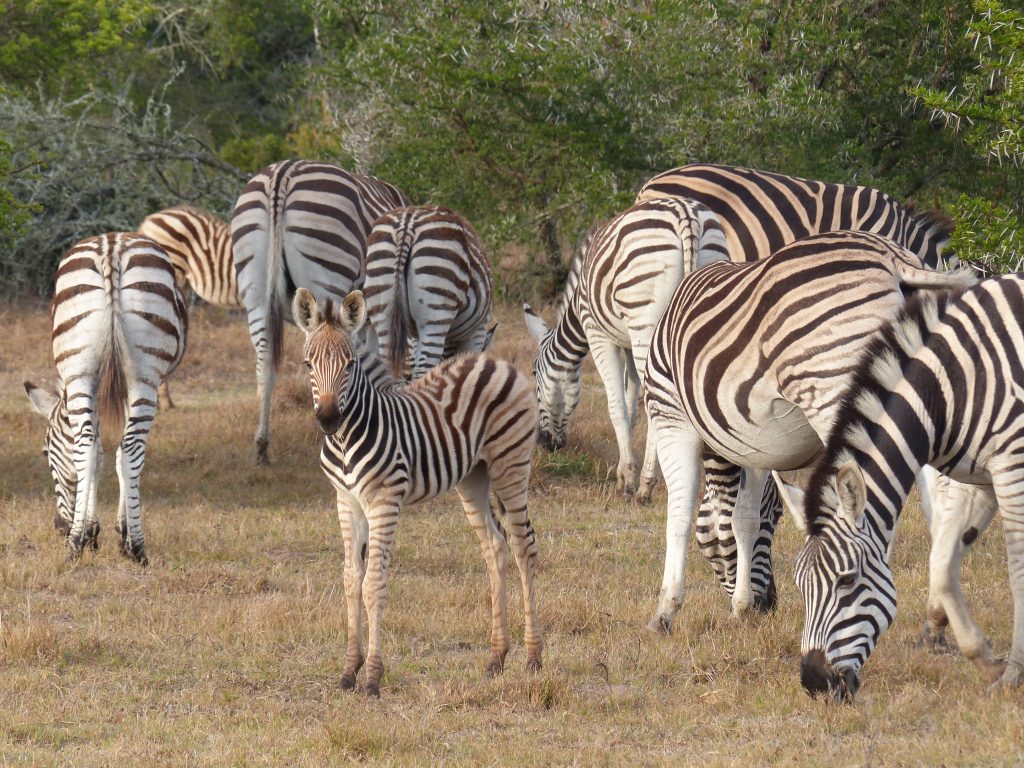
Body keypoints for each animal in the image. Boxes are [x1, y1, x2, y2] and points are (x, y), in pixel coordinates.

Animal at [23, 232, 187, 564]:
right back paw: (136, 547)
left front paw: (90, 532)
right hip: (142, 374)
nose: (58, 527)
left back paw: (79, 545)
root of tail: (112, 246)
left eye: (45, 453)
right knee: (131, 446)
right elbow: (116, 455)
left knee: (87, 446)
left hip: (81, 368)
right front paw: (109, 532)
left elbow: (97, 454)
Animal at [292, 287, 542, 696]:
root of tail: (494, 361)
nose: (328, 419)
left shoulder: (384, 500)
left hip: (511, 464)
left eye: (350, 365)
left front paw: (372, 677)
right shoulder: (346, 502)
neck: (345, 439)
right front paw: (348, 671)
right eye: (308, 364)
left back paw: (534, 657)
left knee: (524, 547)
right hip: (473, 477)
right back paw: (496, 657)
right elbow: (350, 579)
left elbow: (373, 583)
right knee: (495, 547)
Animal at [523, 197, 728, 502]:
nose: (546, 443)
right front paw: (624, 471)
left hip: (646, 320)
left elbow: (617, 406)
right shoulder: (629, 346)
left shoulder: (598, 333)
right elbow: (632, 410)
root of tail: (686, 215)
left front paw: (628, 479)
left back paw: (645, 486)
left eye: (535, 375)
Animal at [632, 163, 962, 611]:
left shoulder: (670, 411)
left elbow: (682, 513)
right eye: (775, 519)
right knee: (930, 491)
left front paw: (667, 607)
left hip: (837, 391)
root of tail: (894, 260)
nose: (767, 605)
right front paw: (741, 604)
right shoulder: (752, 436)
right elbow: (743, 512)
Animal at [791, 274, 1024, 699]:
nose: (815, 683)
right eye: (801, 586)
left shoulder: (1011, 466)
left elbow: (1017, 572)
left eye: (846, 580)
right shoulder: (976, 476)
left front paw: (1014, 674)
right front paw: (984, 659)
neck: (948, 391)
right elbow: (942, 564)